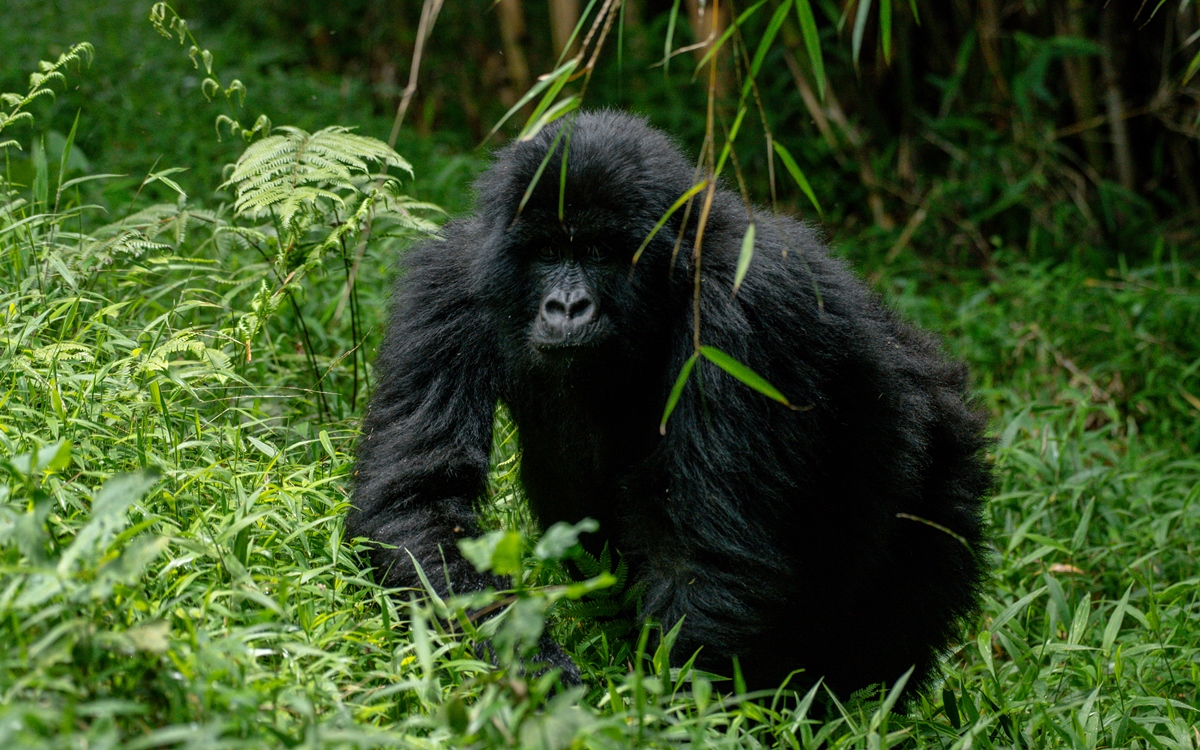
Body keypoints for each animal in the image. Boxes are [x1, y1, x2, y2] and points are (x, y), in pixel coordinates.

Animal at [350, 109, 993, 696]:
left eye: (600, 252)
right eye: (547, 251)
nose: (566, 307)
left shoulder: (744, 309)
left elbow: (704, 560)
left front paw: (660, 713)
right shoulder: (446, 283)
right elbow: (417, 500)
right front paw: (528, 657)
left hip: (947, 454)